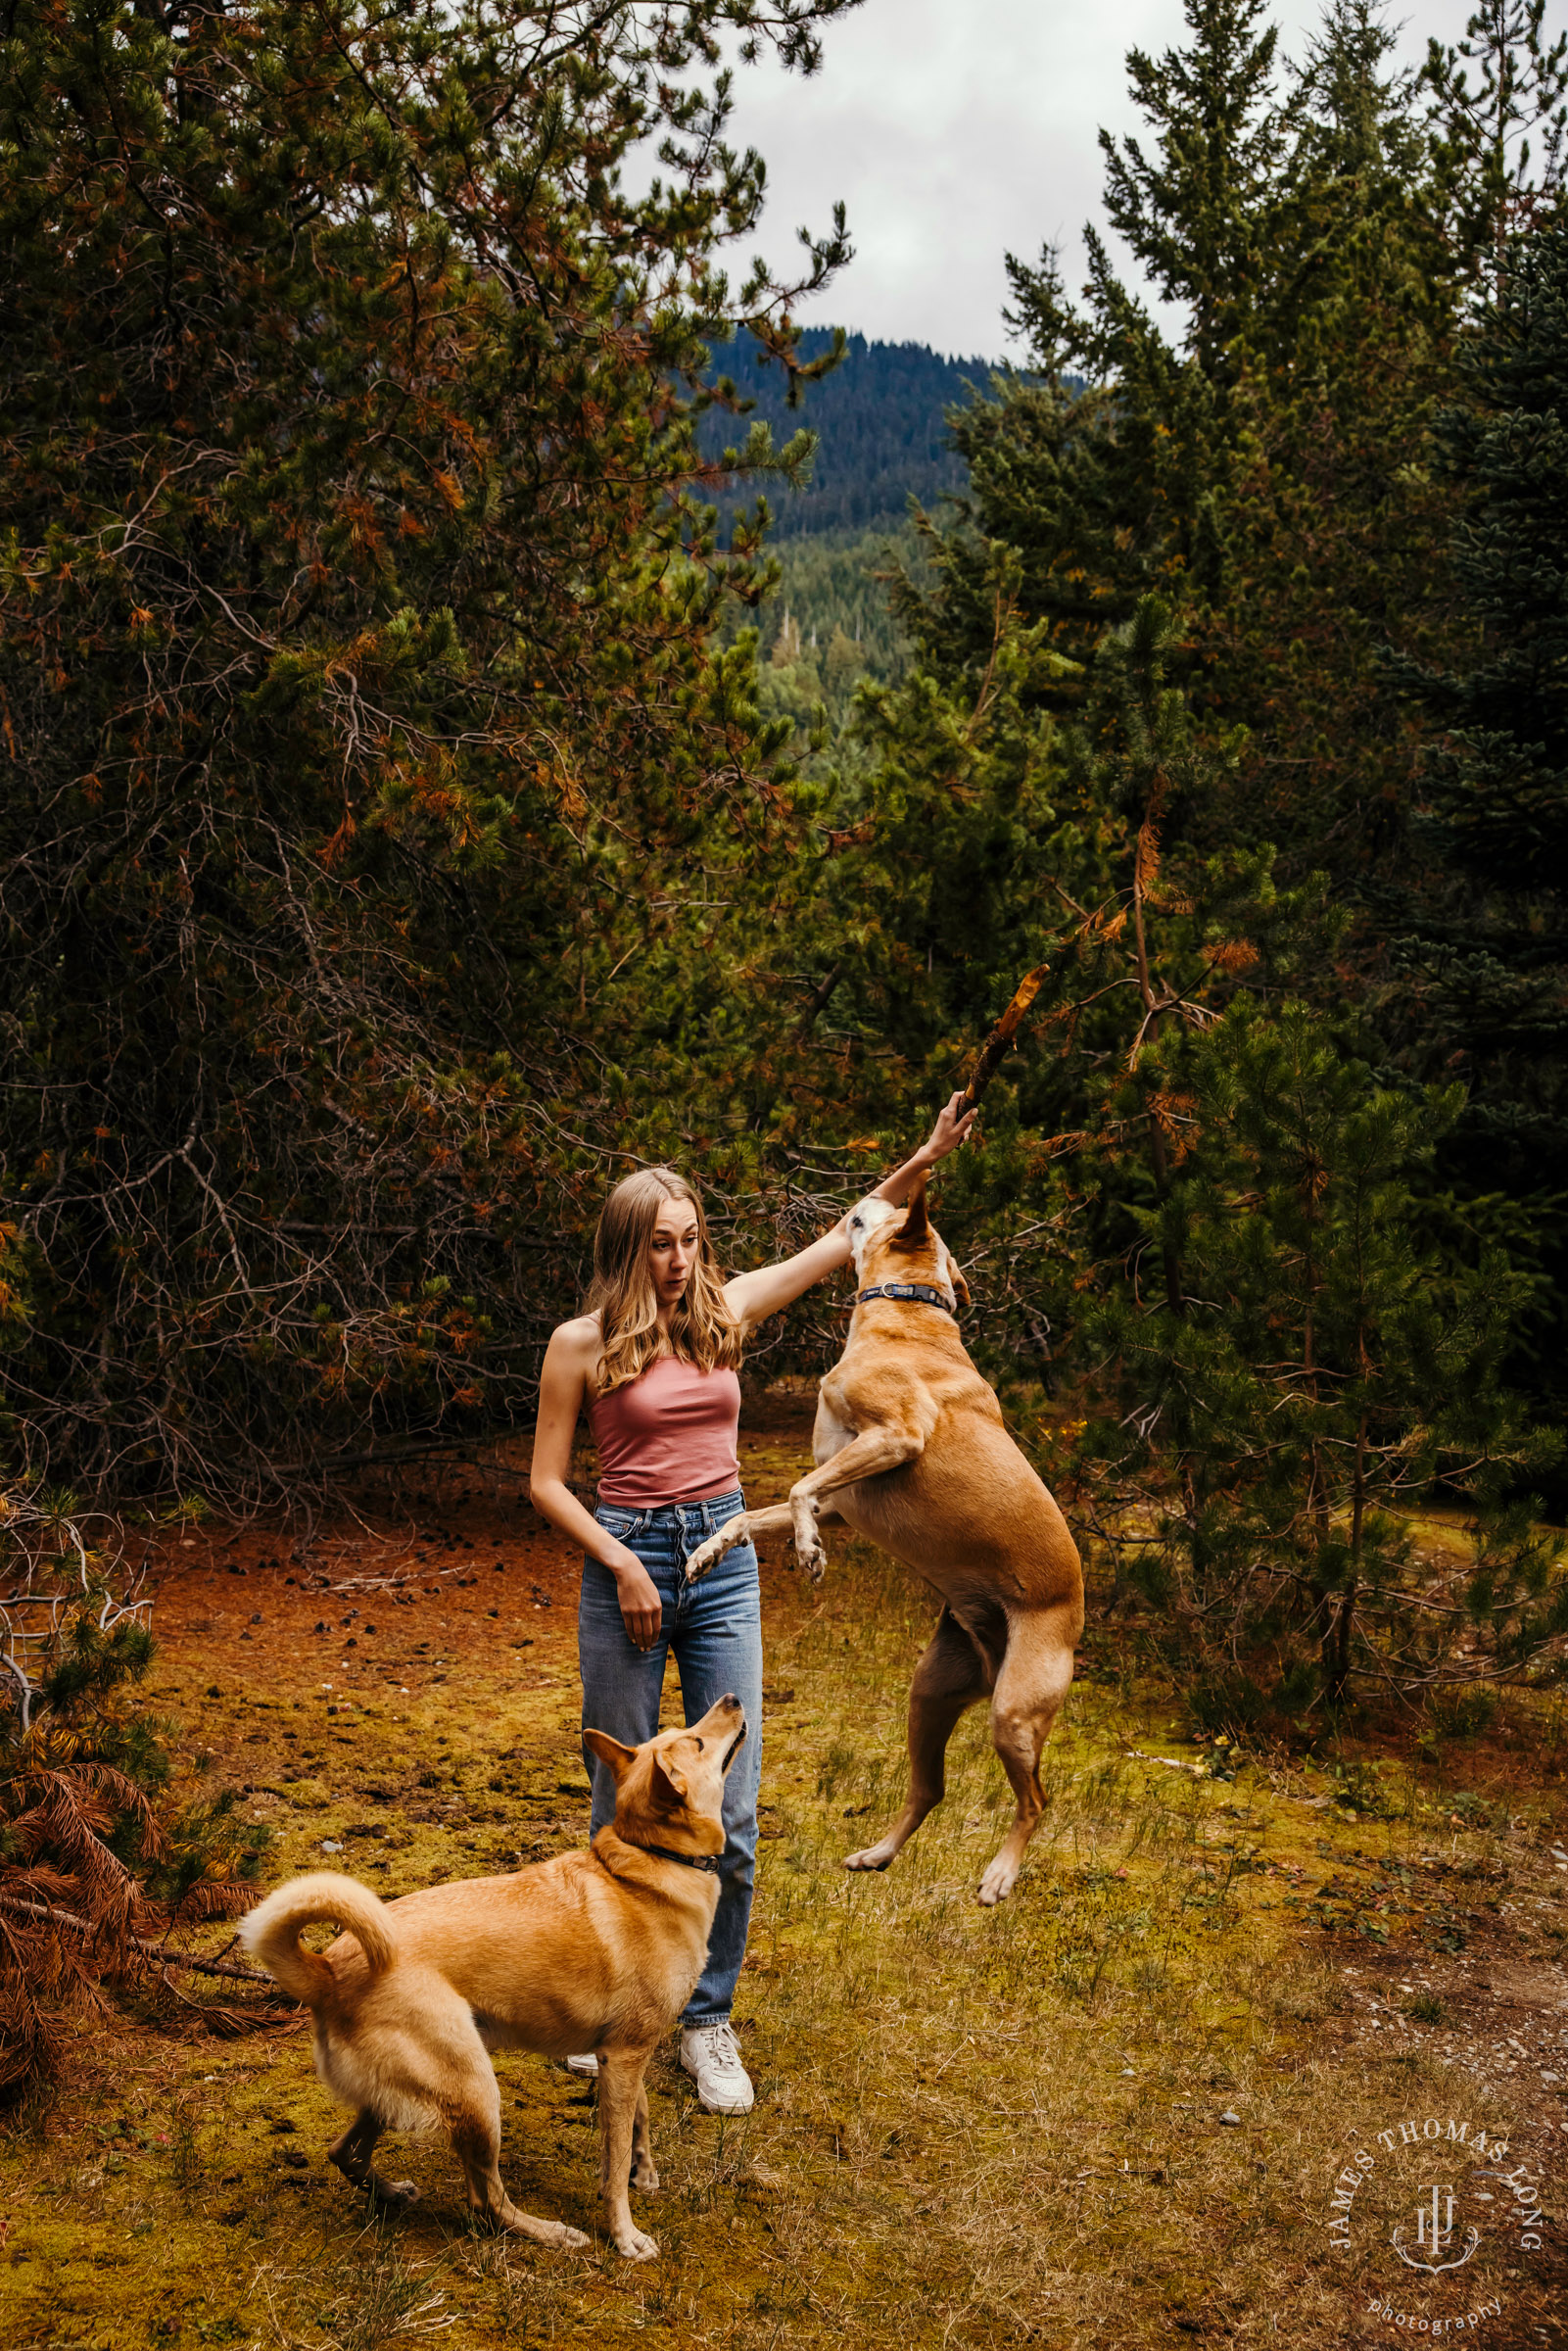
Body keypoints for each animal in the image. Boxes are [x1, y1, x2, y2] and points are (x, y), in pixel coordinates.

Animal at [239, 1693, 747, 2257]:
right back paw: (551, 2232)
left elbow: (639, 2121)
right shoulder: (624, 2057)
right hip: (477, 2092)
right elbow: (613, 2162)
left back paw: (390, 2192)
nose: (732, 1698)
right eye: (697, 1742)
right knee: (485, 2200)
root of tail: (328, 1970)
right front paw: (624, 2234)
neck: (650, 1861)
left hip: (394, 2095)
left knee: (342, 2152)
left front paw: (645, 2172)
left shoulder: (624, 2058)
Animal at [686, 1176, 1081, 1908]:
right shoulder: (845, 1496)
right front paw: (708, 1551)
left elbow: (796, 1492)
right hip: (929, 1698)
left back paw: (1000, 1874)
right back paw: (879, 1853)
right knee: (930, 1789)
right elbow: (757, 1514)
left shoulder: (897, 1436)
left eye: (874, 1213)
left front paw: (808, 1552)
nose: (865, 1195)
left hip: (1013, 1717)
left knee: (1036, 1800)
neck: (907, 1311)